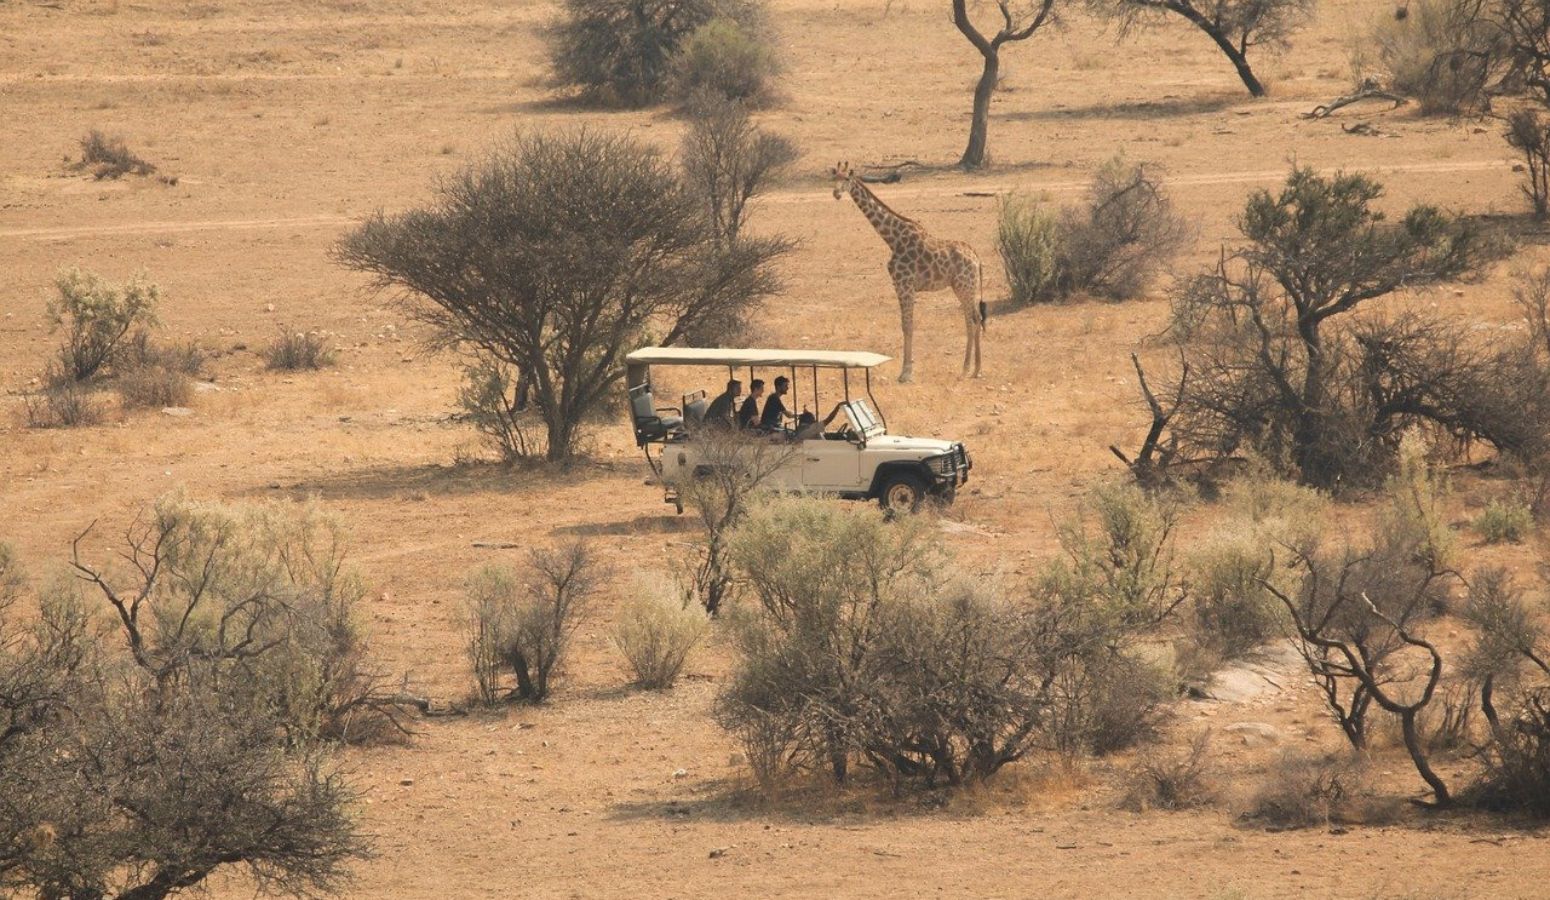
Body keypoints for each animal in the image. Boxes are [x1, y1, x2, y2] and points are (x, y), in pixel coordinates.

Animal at [837, 161, 979, 379]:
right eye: (833, 177)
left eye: (845, 179)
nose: (836, 193)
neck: (892, 239)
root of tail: (977, 259)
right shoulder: (899, 285)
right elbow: (905, 325)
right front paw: (906, 370)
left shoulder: (905, 285)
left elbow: (907, 325)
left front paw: (906, 373)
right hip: (962, 287)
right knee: (975, 318)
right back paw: (976, 369)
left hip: (965, 286)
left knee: (971, 320)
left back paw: (965, 369)